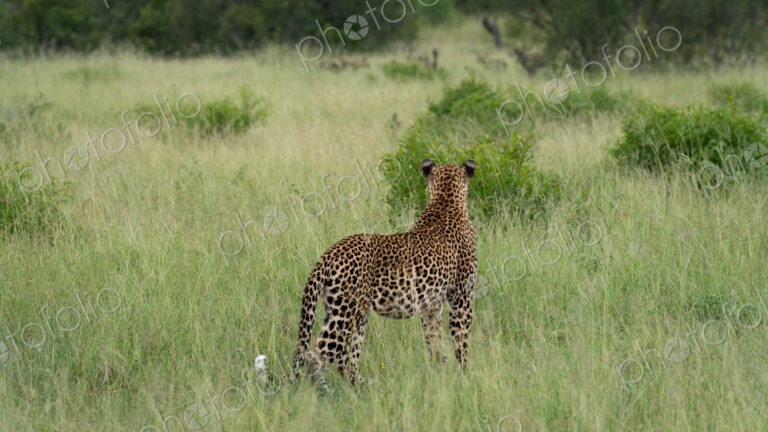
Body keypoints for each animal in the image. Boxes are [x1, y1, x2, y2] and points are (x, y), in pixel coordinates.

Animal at [292, 159, 478, 386]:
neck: (445, 201)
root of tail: (329, 254)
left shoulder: (431, 306)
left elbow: (434, 342)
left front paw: (441, 373)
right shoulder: (462, 297)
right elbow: (461, 340)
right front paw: (464, 375)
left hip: (343, 313)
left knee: (344, 359)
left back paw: (363, 385)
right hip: (348, 313)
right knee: (318, 355)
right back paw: (331, 389)